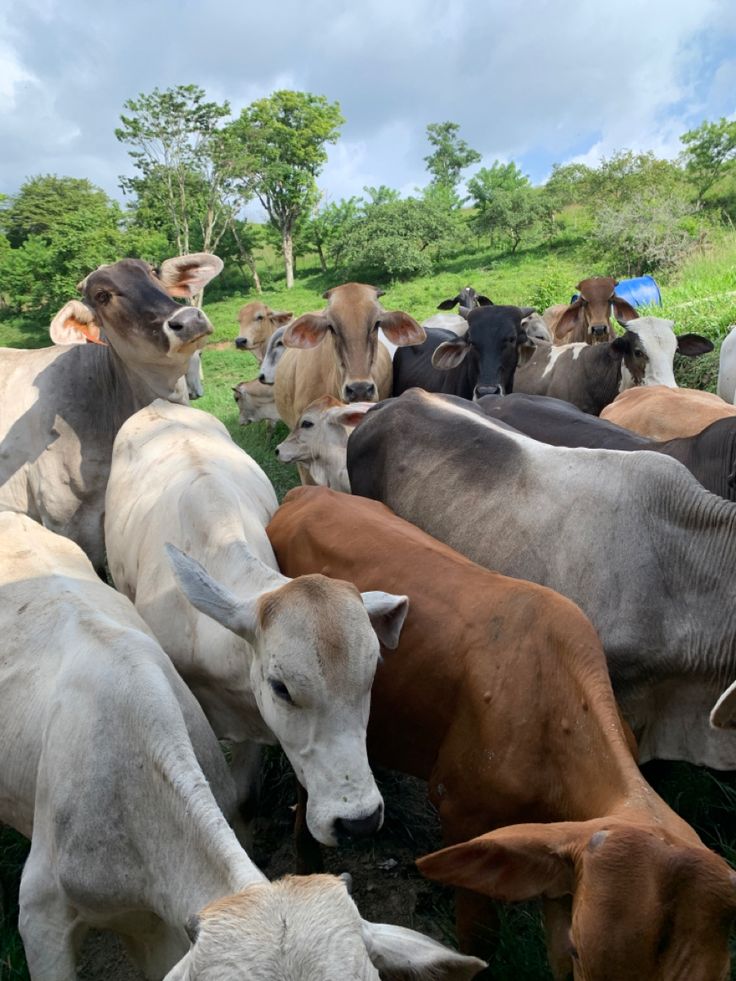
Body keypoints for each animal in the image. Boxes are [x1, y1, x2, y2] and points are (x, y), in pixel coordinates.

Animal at [268, 486, 736, 979]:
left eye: (719, 973)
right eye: (583, 950)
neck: (553, 719)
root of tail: (307, 491)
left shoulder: (557, 858)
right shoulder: (461, 811)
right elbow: (481, 939)